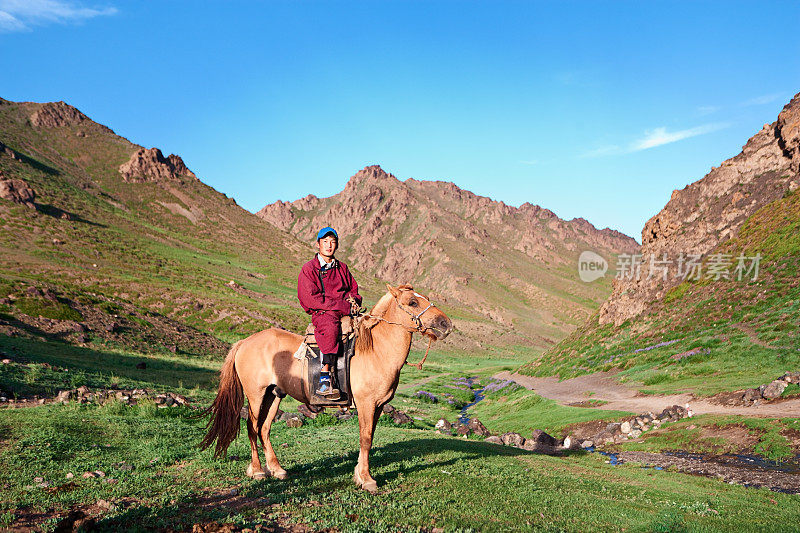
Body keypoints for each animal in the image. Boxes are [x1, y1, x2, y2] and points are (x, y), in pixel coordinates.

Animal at [200, 284, 450, 492]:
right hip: (255, 395)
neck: (376, 350)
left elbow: (368, 438)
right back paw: (258, 471)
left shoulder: (378, 406)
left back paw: (277, 469)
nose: (445, 324)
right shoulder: (366, 404)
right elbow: (365, 438)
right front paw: (367, 480)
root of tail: (245, 342)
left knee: (264, 429)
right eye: (412, 302)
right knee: (252, 428)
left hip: (274, 395)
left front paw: (359, 475)